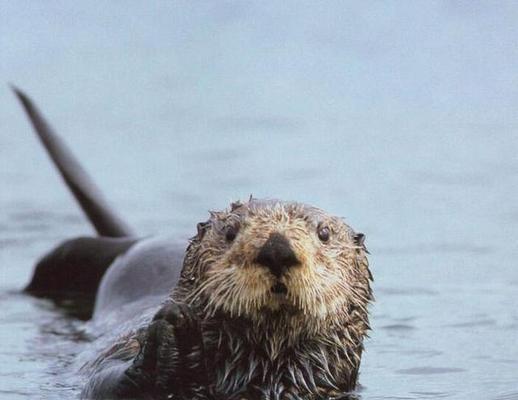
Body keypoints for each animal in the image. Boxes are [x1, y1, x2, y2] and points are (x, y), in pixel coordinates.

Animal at [13, 87, 374, 400]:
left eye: (324, 233)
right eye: (230, 232)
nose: (276, 249)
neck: (260, 373)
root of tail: (142, 236)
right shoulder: (120, 350)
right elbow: (105, 383)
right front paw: (173, 336)